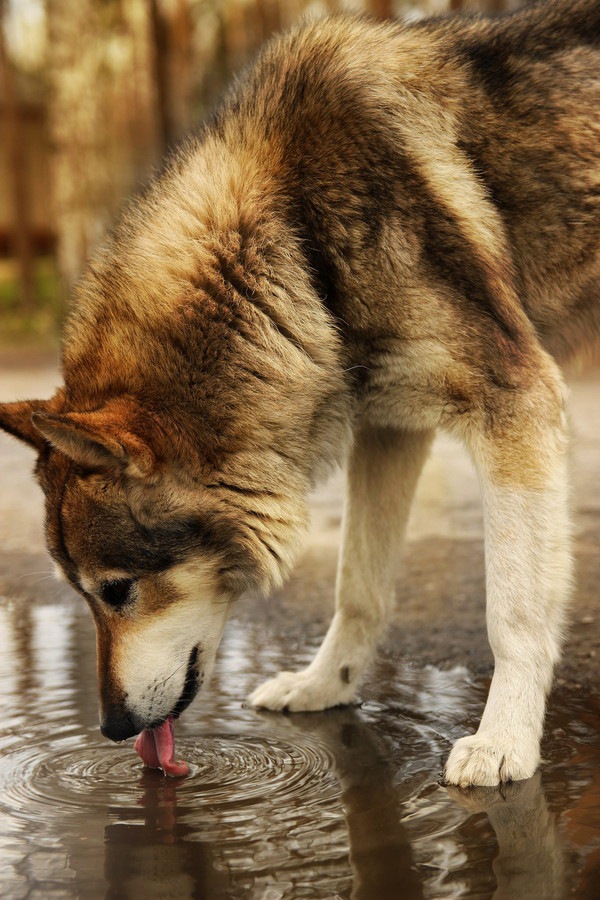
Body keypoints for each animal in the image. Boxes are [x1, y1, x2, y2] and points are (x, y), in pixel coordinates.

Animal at [1, 0, 600, 788]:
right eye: (80, 595)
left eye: (118, 590)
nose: (112, 728)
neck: (300, 233)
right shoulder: (389, 428)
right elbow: (358, 587)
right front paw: (324, 687)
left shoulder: (517, 406)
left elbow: (513, 612)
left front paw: (503, 741)